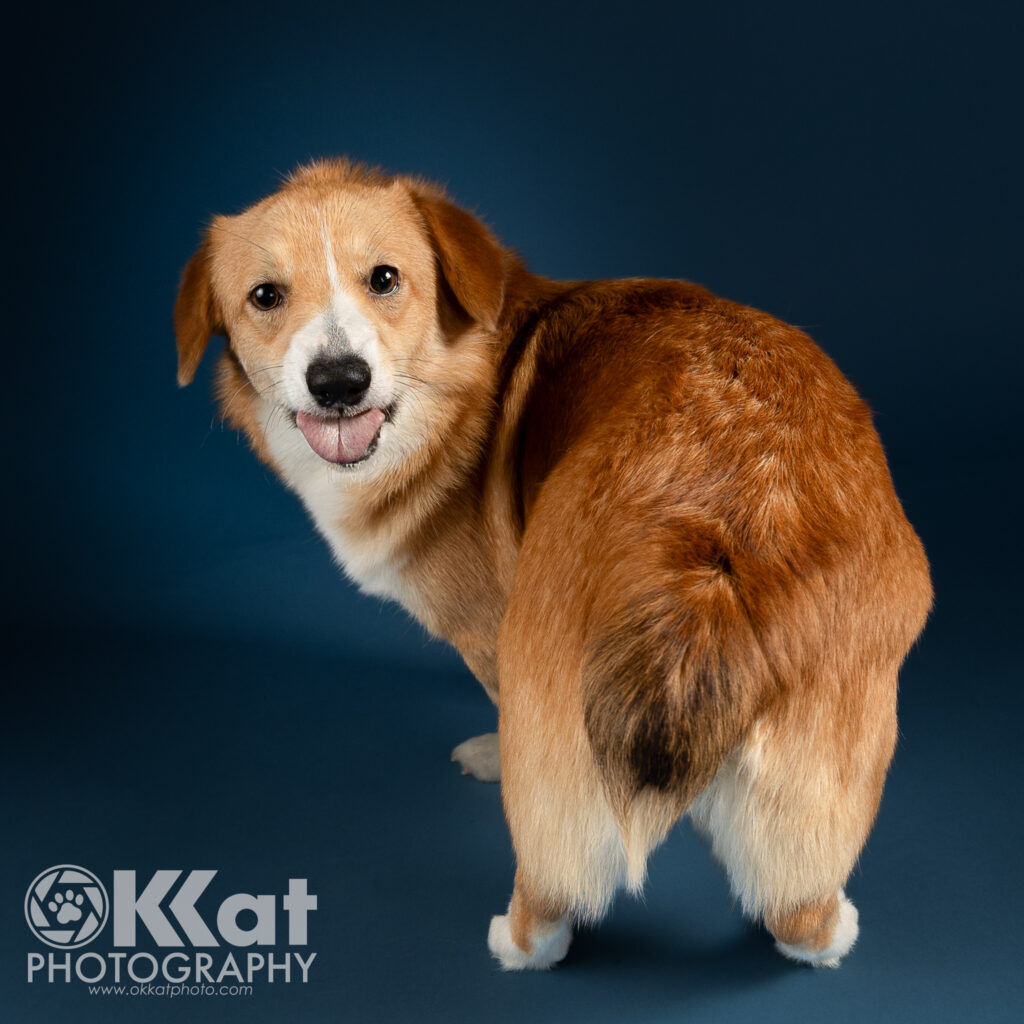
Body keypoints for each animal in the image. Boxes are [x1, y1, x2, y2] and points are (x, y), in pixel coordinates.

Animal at [174, 157, 929, 966]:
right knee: (796, 895)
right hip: (841, 717)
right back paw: (826, 931)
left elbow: (499, 707)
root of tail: (718, 541)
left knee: (554, 864)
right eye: (265, 296)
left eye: (384, 278)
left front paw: (491, 752)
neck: (458, 387)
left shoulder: (489, 637)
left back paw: (521, 941)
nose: (339, 381)